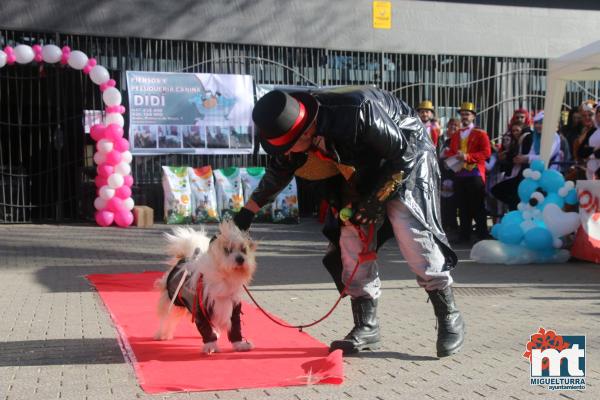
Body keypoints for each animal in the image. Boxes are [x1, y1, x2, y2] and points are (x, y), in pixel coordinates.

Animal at [154, 220, 256, 354]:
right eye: (227, 250)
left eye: (244, 250)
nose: (240, 259)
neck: (224, 277)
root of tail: (184, 259)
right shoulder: (200, 310)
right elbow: (206, 329)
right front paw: (210, 346)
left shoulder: (234, 309)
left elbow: (235, 328)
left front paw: (239, 344)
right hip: (172, 301)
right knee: (167, 318)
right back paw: (162, 334)